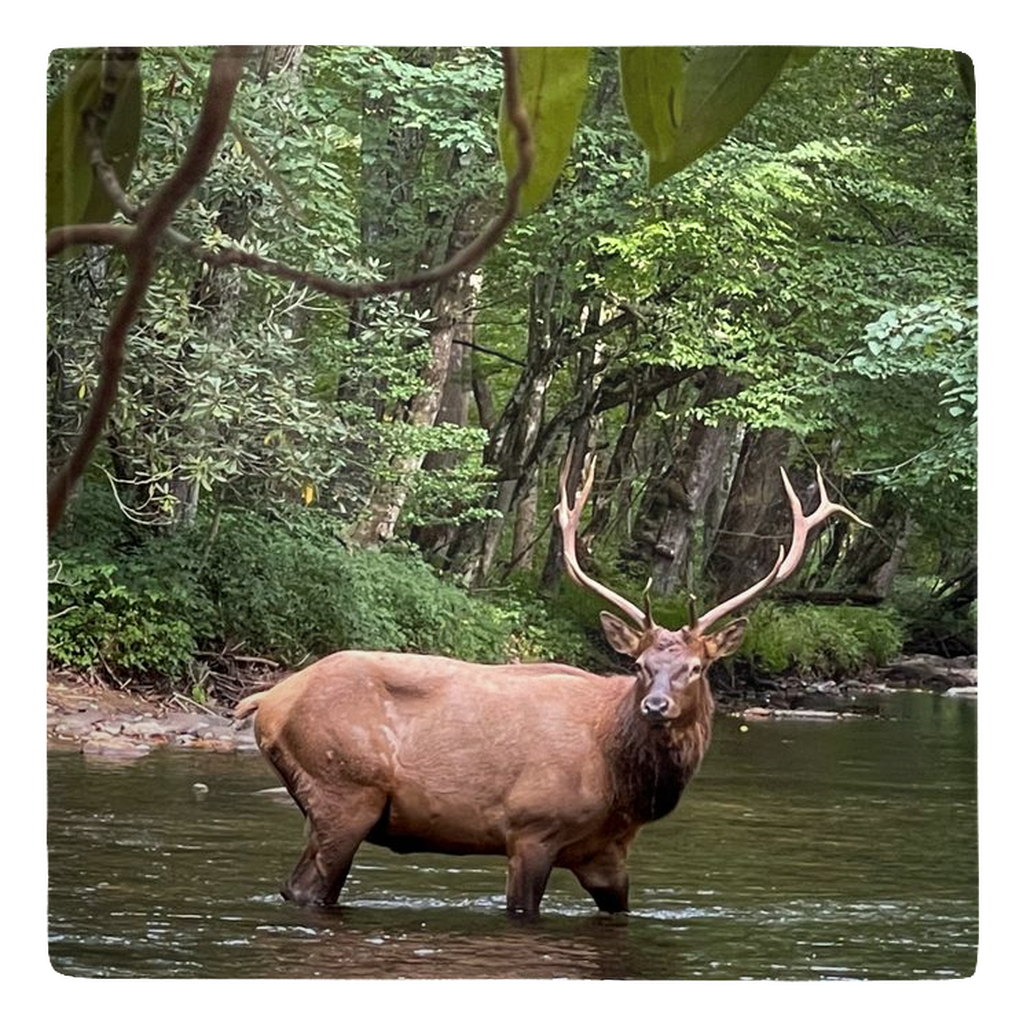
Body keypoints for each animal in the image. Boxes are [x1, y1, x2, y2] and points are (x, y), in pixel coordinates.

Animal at [237, 452, 864, 917]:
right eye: (640, 665)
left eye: (696, 667)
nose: (656, 705)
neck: (621, 780)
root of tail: (266, 700)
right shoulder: (530, 829)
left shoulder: (606, 852)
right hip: (343, 789)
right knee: (307, 888)